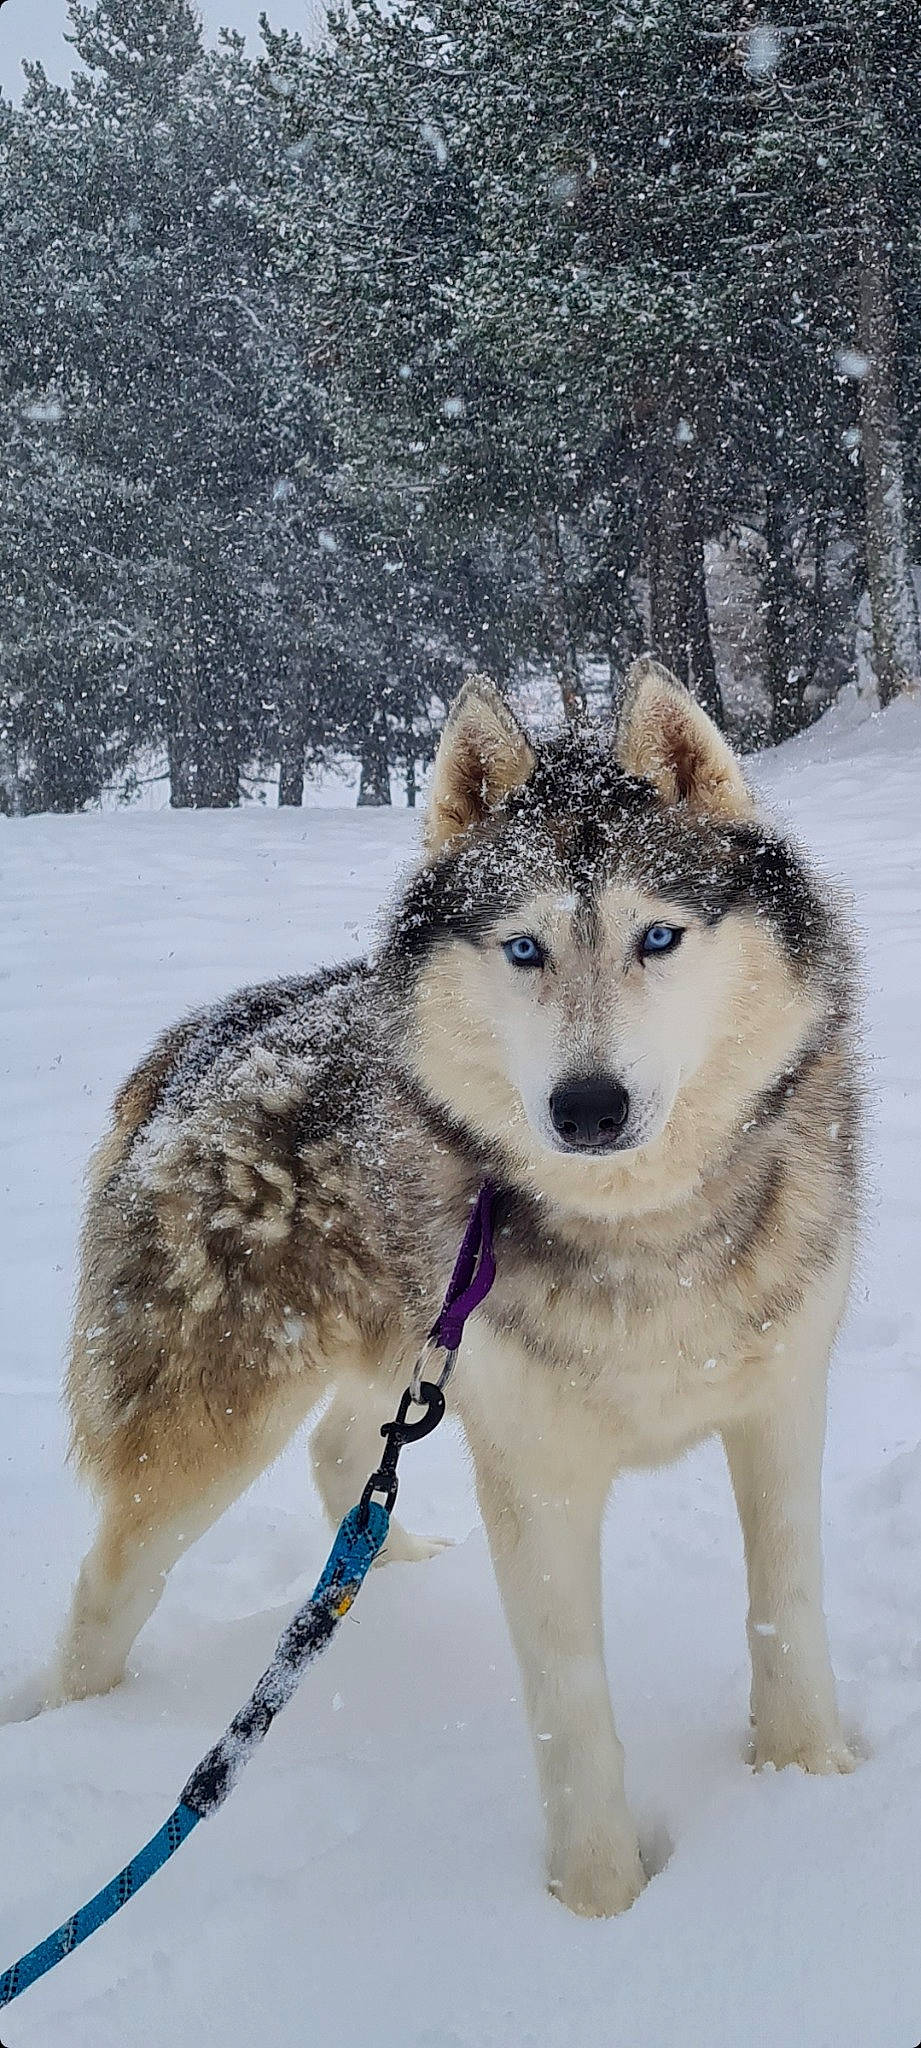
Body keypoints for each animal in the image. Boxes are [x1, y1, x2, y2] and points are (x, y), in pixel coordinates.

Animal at [4, 658, 859, 1917]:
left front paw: (809, 1780)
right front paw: (602, 1908)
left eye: (659, 935)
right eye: (523, 948)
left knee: (342, 1458)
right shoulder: (538, 1474)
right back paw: (75, 1727)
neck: (641, 1227)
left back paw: (382, 1575)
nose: (588, 1107)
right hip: (219, 1418)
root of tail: (204, 1032)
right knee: (110, 1583)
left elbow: (785, 1614)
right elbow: (572, 1717)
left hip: (412, 1340)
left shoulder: (782, 1404)